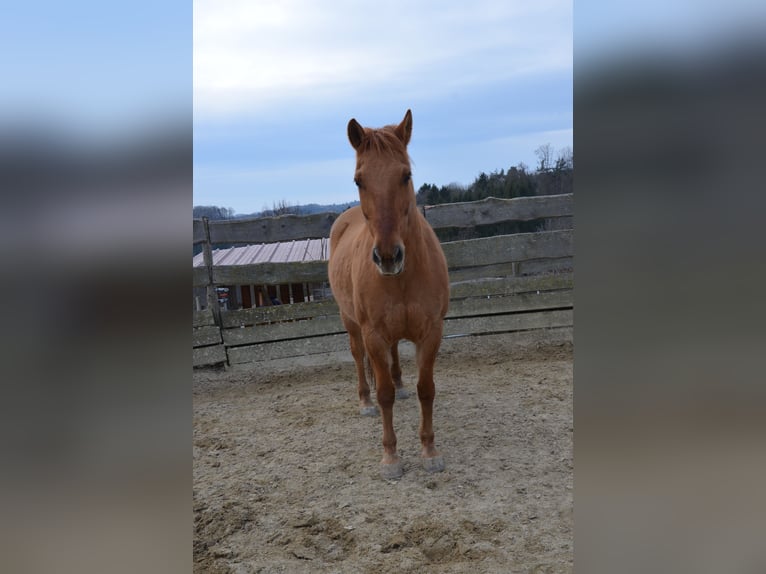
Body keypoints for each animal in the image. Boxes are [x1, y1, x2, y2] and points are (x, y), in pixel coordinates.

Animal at [328, 109, 450, 479]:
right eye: (359, 180)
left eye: (405, 175)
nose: (387, 257)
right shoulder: (373, 334)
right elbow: (384, 396)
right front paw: (391, 457)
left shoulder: (432, 332)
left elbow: (427, 390)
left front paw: (429, 450)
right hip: (351, 323)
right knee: (358, 359)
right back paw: (364, 401)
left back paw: (400, 385)